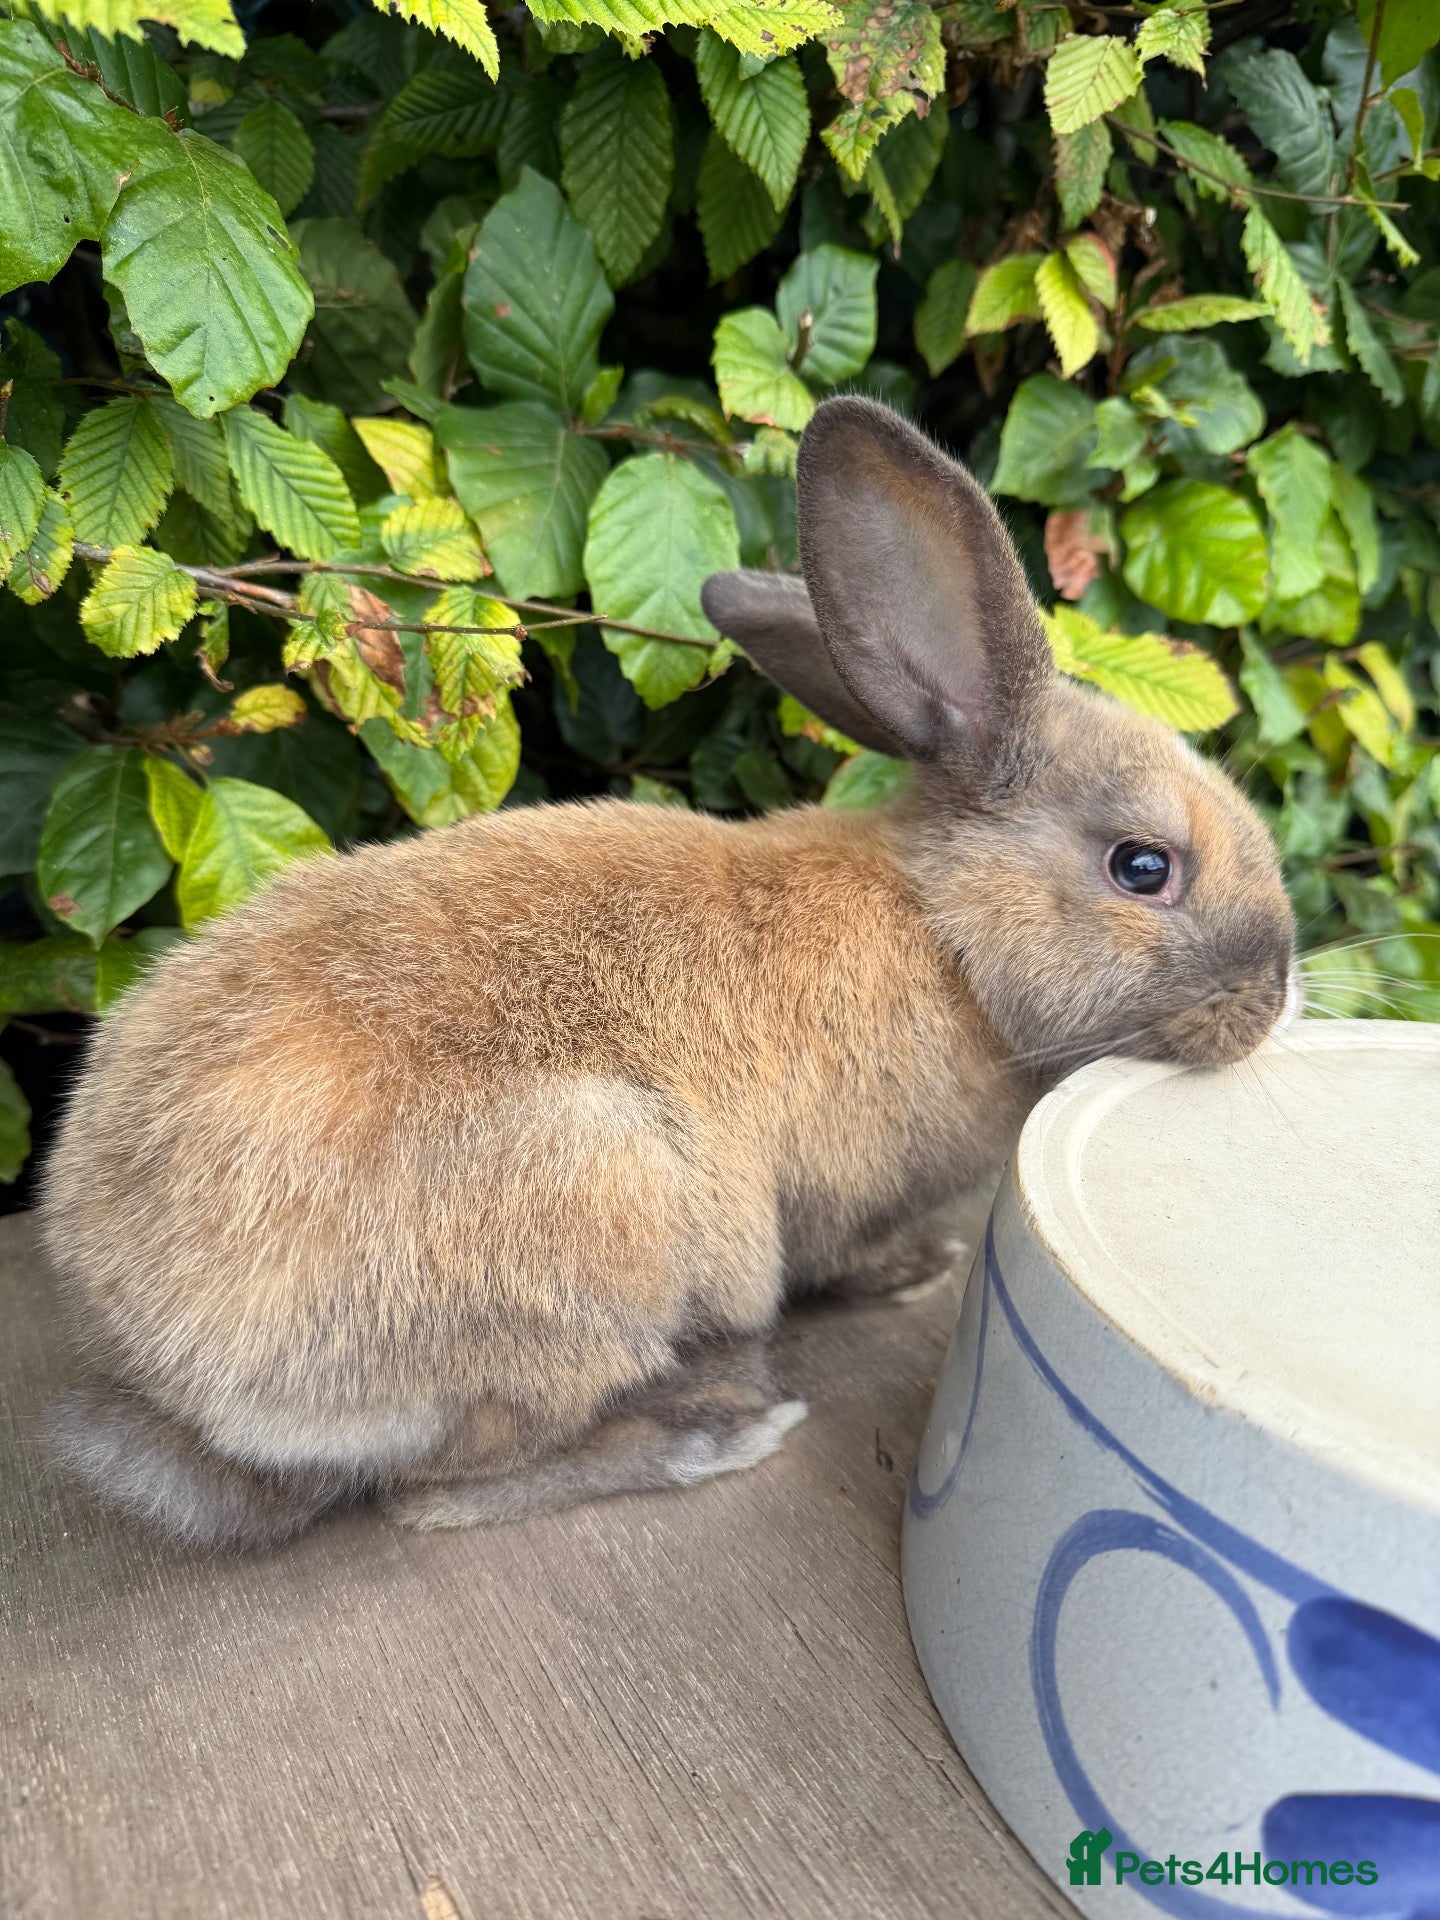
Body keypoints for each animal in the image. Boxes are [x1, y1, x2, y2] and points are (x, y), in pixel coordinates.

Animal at [38, 396, 1296, 1551]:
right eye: (1144, 867)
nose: (1276, 996)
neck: (948, 935)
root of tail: (172, 1374)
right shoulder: (831, 1198)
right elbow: (840, 1255)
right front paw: (914, 1271)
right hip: (603, 1221)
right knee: (433, 1496)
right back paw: (705, 1431)